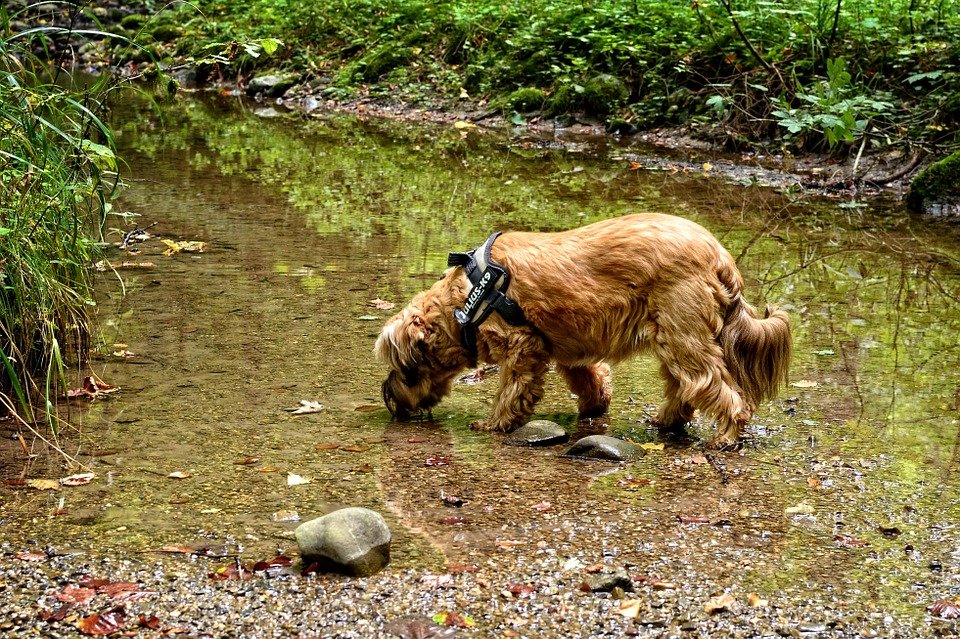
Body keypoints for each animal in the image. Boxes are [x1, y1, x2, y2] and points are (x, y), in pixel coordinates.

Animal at [372, 212, 792, 448]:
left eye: (405, 370)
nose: (390, 401)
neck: (466, 303)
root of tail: (721, 256)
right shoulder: (566, 349)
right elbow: (591, 379)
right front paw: (594, 408)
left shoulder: (522, 346)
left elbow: (511, 391)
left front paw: (495, 423)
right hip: (672, 338)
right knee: (684, 388)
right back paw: (666, 420)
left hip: (683, 336)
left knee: (720, 390)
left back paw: (726, 437)